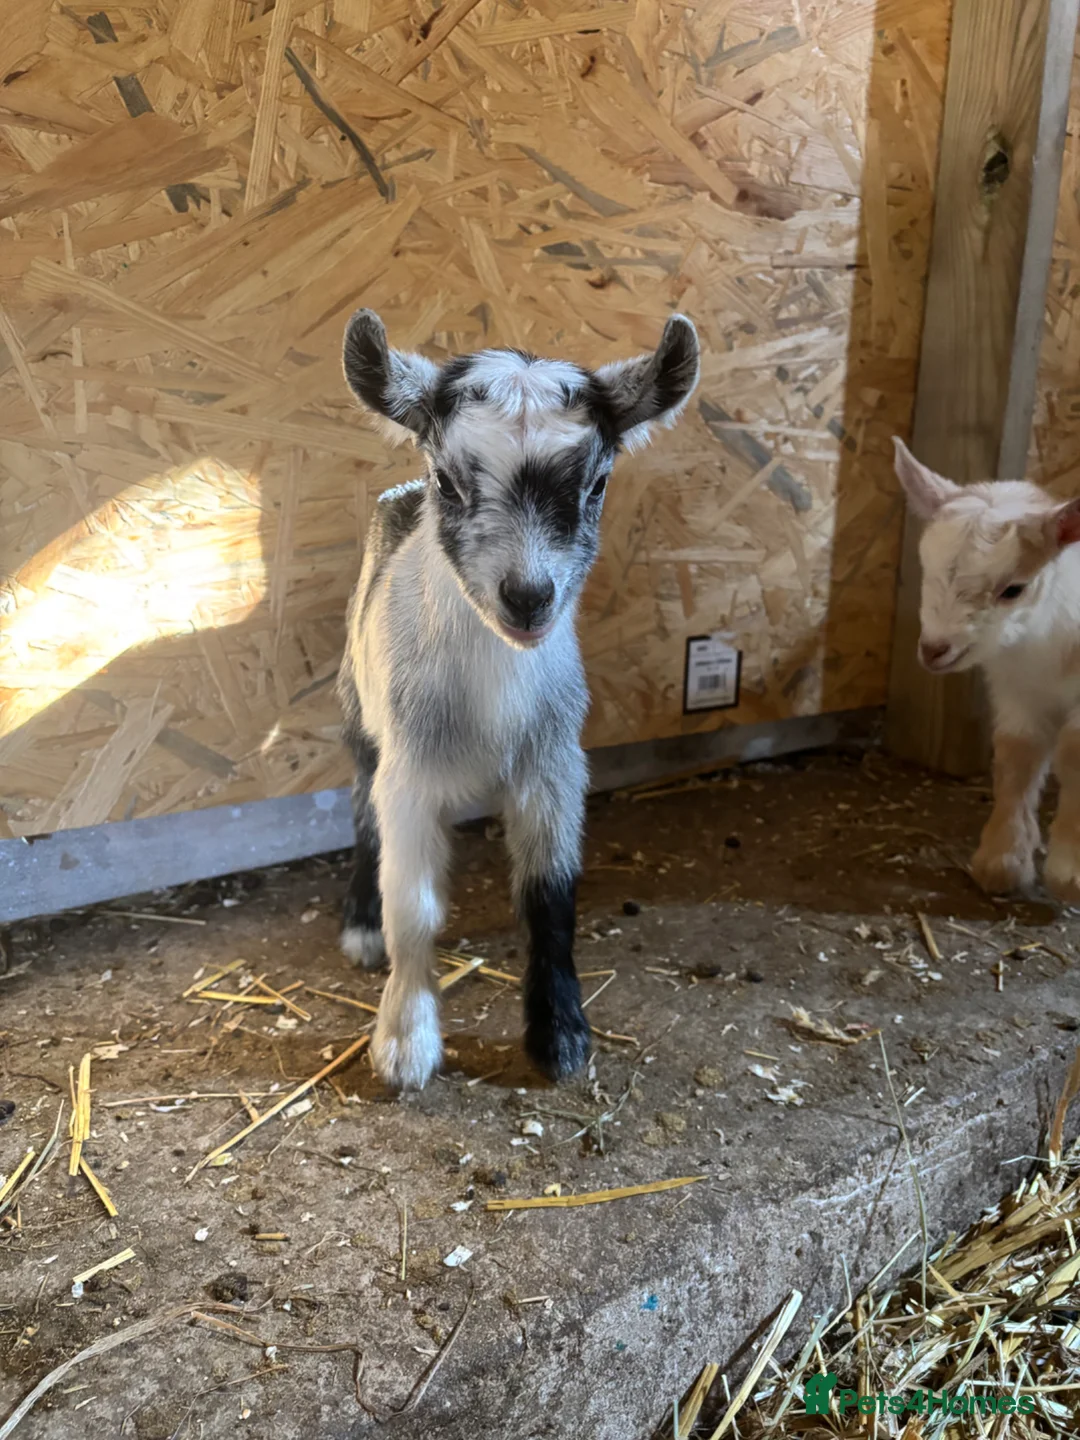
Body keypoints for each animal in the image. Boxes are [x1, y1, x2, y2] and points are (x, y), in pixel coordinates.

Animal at [336, 310, 700, 1089]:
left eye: (598, 483)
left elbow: (550, 897)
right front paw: (405, 1044)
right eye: (448, 480)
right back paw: (359, 926)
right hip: (356, 708)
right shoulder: (408, 774)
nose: (529, 597)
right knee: (357, 802)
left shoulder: (554, 764)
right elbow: (412, 904)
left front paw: (560, 1037)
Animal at [893, 437, 1080, 901]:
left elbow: (1074, 752)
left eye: (1013, 589)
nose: (934, 649)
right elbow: (1016, 754)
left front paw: (1068, 872)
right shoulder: (1017, 690)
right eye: (925, 567)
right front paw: (1002, 861)